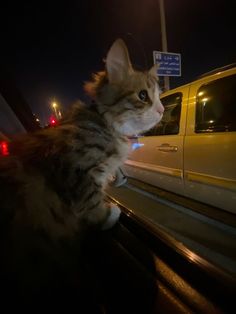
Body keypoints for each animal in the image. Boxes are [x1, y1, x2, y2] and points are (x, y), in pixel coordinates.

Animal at [0, 38, 164, 310]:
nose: (162, 110)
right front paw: (109, 215)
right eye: (143, 96)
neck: (105, 124)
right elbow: (90, 200)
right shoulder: (73, 170)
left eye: (159, 96)